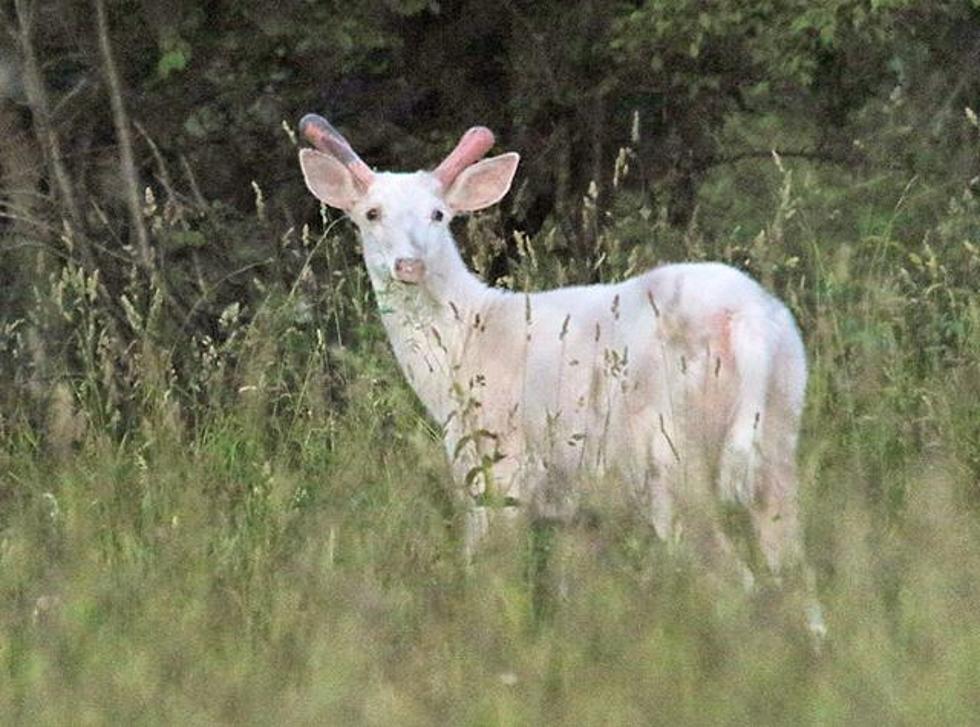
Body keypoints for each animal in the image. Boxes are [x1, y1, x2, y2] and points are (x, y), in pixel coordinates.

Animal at [298, 112, 828, 636]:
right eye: (372, 213)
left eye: (438, 215)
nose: (409, 265)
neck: (466, 342)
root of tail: (748, 322)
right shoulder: (575, 509)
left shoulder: (497, 466)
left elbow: (488, 570)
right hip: (779, 433)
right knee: (796, 579)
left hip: (670, 453)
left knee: (736, 578)